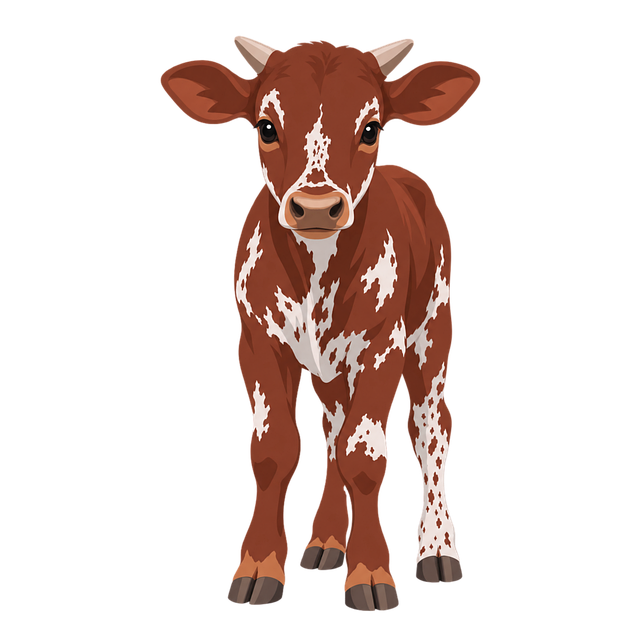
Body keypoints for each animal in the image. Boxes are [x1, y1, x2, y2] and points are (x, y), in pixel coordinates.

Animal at [159, 35, 481, 611]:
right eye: (266, 126)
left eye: (371, 128)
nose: (315, 207)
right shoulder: (258, 341)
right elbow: (275, 449)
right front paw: (258, 566)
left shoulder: (382, 346)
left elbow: (366, 454)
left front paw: (371, 575)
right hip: (332, 369)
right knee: (333, 429)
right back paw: (326, 543)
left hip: (431, 328)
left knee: (430, 425)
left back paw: (437, 549)